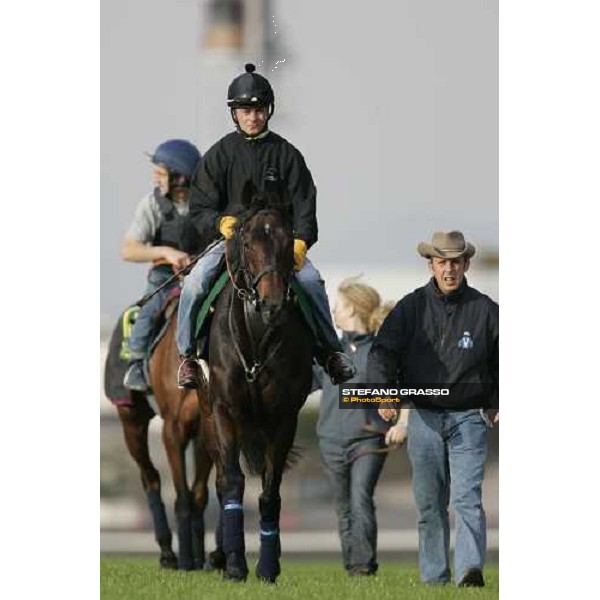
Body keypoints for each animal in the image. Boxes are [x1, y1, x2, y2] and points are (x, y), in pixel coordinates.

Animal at [112, 304, 216, 572]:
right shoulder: (173, 428)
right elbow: (182, 497)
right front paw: (186, 561)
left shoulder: (205, 431)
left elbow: (198, 494)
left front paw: (199, 559)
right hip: (132, 423)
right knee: (150, 477)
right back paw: (168, 554)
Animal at [200, 182, 314, 580]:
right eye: (248, 242)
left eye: (288, 241)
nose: (272, 304)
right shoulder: (224, 410)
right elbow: (233, 483)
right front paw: (236, 564)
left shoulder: (284, 418)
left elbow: (269, 492)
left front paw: (267, 566)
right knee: (222, 481)